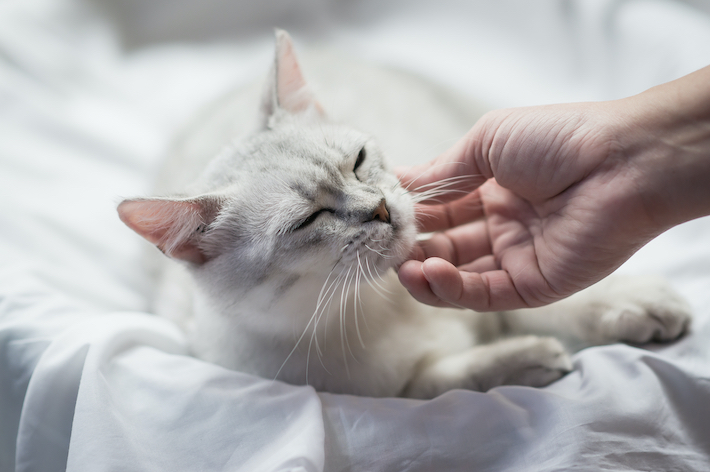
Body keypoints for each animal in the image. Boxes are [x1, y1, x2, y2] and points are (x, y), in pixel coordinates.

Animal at [119, 29, 692, 398]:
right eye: (307, 221)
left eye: (358, 161)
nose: (378, 208)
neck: (375, 305)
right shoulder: (402, 387)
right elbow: (460, 376)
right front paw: (531, 360)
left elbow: (555, 303)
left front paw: (633, 305)